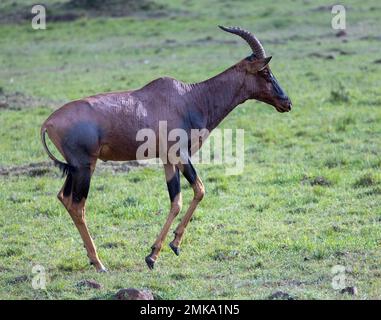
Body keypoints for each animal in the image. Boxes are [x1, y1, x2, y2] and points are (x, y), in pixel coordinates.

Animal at [40, 26, 290, 272]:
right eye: (265, 72)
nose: (287, 103)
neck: (188, 98)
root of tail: (48, 122)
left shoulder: (168, 160)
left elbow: (176, 201)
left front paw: (154, 254)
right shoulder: (180, 155)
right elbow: (199, 190)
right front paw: (171, 245)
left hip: (75, 168)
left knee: (64, 198)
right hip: (85, 167)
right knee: (77, 205)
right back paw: (99, 263)